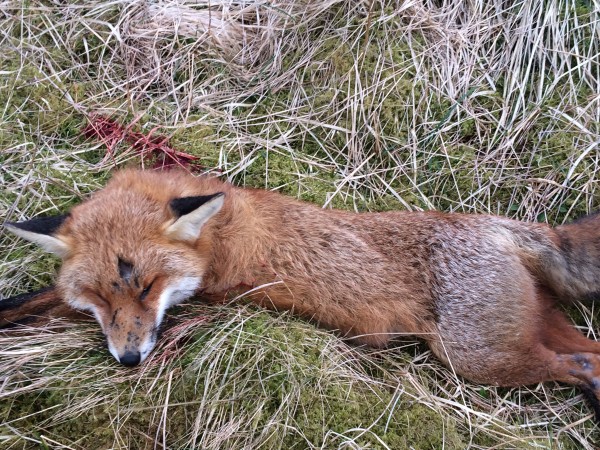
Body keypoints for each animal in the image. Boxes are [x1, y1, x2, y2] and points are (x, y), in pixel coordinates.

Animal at [3, 169, 600, 418]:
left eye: (147, 287)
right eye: (101, 300)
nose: (128, 361)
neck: (217, 235)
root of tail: (501, 226)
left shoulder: (211, 294)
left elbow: (37, 303)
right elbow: (32, 300)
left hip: (476, 358)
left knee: (574, 363)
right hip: (530, 329)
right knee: (590, 354)